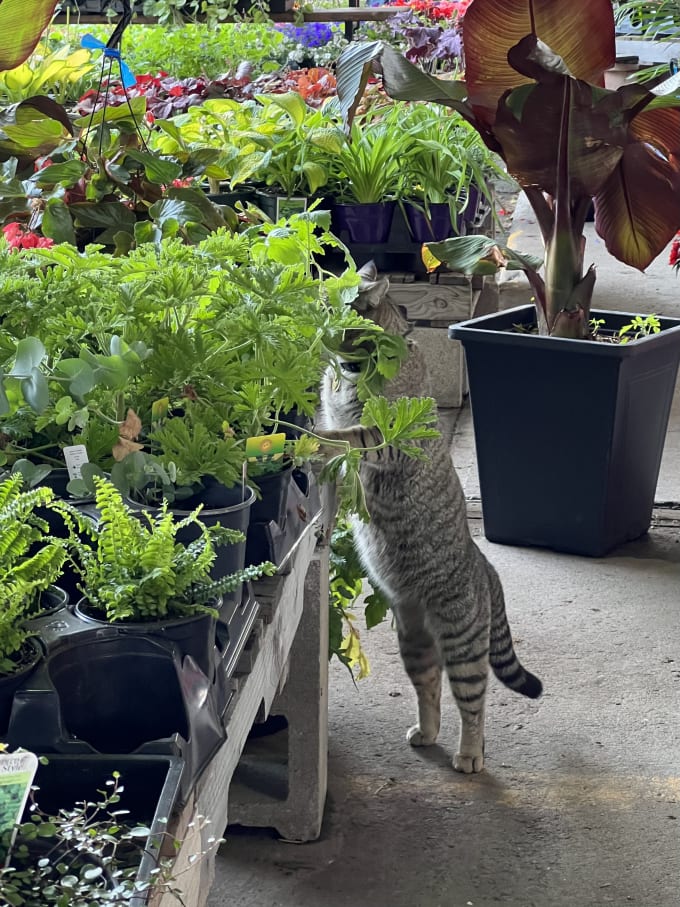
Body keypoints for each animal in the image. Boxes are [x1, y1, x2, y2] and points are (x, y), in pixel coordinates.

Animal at [318, 260, 540, 772]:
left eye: (328, 301)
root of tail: (486, 567)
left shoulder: (387, 436)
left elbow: (345, 437)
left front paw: (306, 440)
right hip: (415, 641)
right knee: (431, 691)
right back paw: (427, 732)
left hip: (462, 644)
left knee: (474, 706)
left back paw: (469, 754)